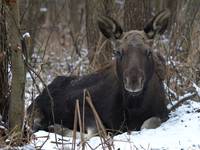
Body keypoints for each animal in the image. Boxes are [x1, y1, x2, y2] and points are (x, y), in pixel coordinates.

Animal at [26, 9, 170, 135]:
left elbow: (151, 122)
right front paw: (58, 128)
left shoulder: (163, 114)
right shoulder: (79, 103)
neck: (135, 107)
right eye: (118, 52)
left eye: (149, 52)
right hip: (34, 111)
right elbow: (99, 130)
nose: (133, 81)